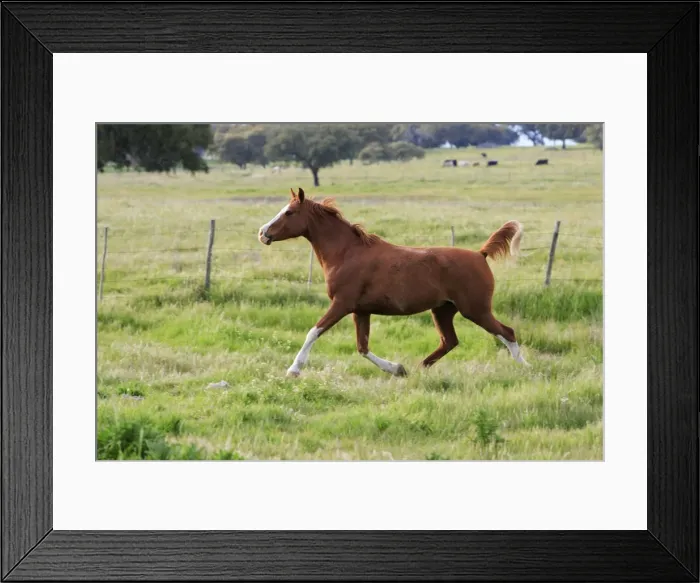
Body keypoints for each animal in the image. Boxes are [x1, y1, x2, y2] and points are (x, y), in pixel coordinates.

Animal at [258, 188, 529, 378]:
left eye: (289, 212)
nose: (263, 233)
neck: (347, 253)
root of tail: (480, 254)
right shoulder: (361, 310)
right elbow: (362, 347)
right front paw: (397, 369)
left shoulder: (342, 304)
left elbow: (314, 332)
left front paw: (293, 370)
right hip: (443, 310)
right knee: (449, 341)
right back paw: (417, 369)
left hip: (475, 310)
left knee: (507, 332)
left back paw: (526, 368)